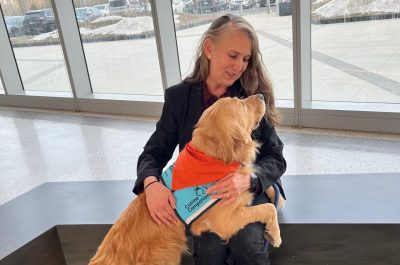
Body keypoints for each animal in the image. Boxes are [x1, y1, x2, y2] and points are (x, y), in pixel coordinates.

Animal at [90, 94, 284, 264]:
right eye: (241, 104)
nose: (262, 95)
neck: (213, 159)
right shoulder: (225, 221)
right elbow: (267, 208)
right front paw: (275, 234)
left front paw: (278, 197)